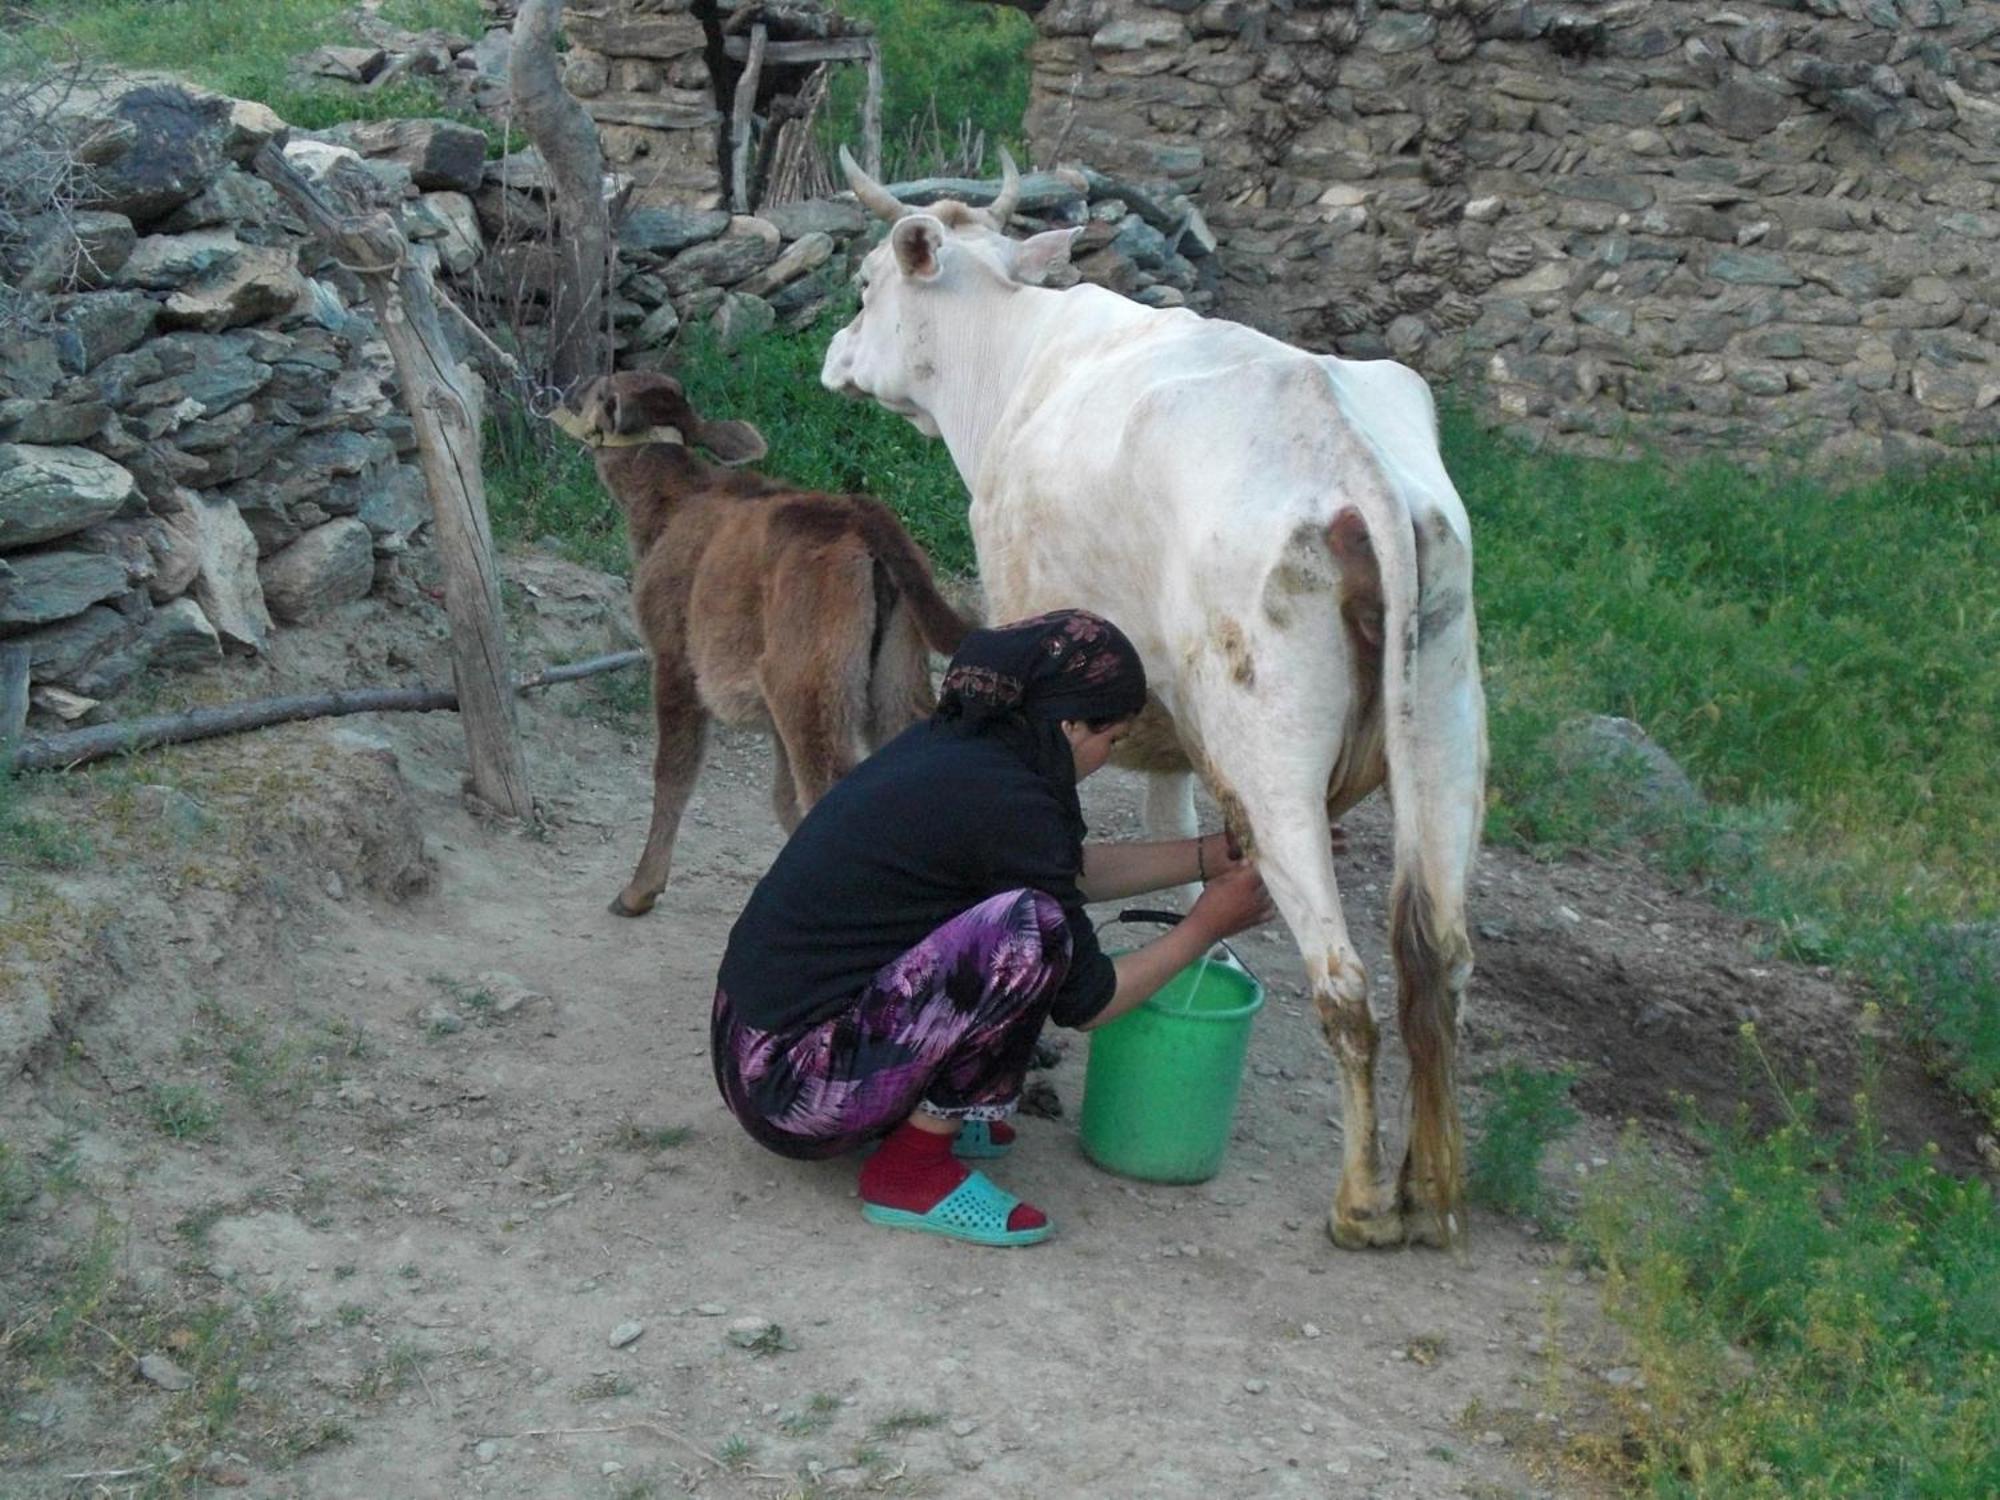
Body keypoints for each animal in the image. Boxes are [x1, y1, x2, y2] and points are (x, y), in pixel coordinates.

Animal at [556, 374, 976, 916]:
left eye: (601, 387)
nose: (570, 387)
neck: (667, 507)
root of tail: (861, 515)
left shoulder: (673, 657)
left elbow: (674, 771)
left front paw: (639, 890)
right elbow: (782, 797)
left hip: (807, 679)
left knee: (831, 782)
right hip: (894, 673)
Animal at [820, 147, 1496, 1248]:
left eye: (865, 286)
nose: (833, 355)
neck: (1016, 363)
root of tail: (1346, 452)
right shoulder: (1176, 734)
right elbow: (1174, 852)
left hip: (1268, 745)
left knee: (1345, 983)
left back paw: (1362, 1207)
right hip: (1447, 720)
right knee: (1437, 958)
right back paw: (1433, 1196)